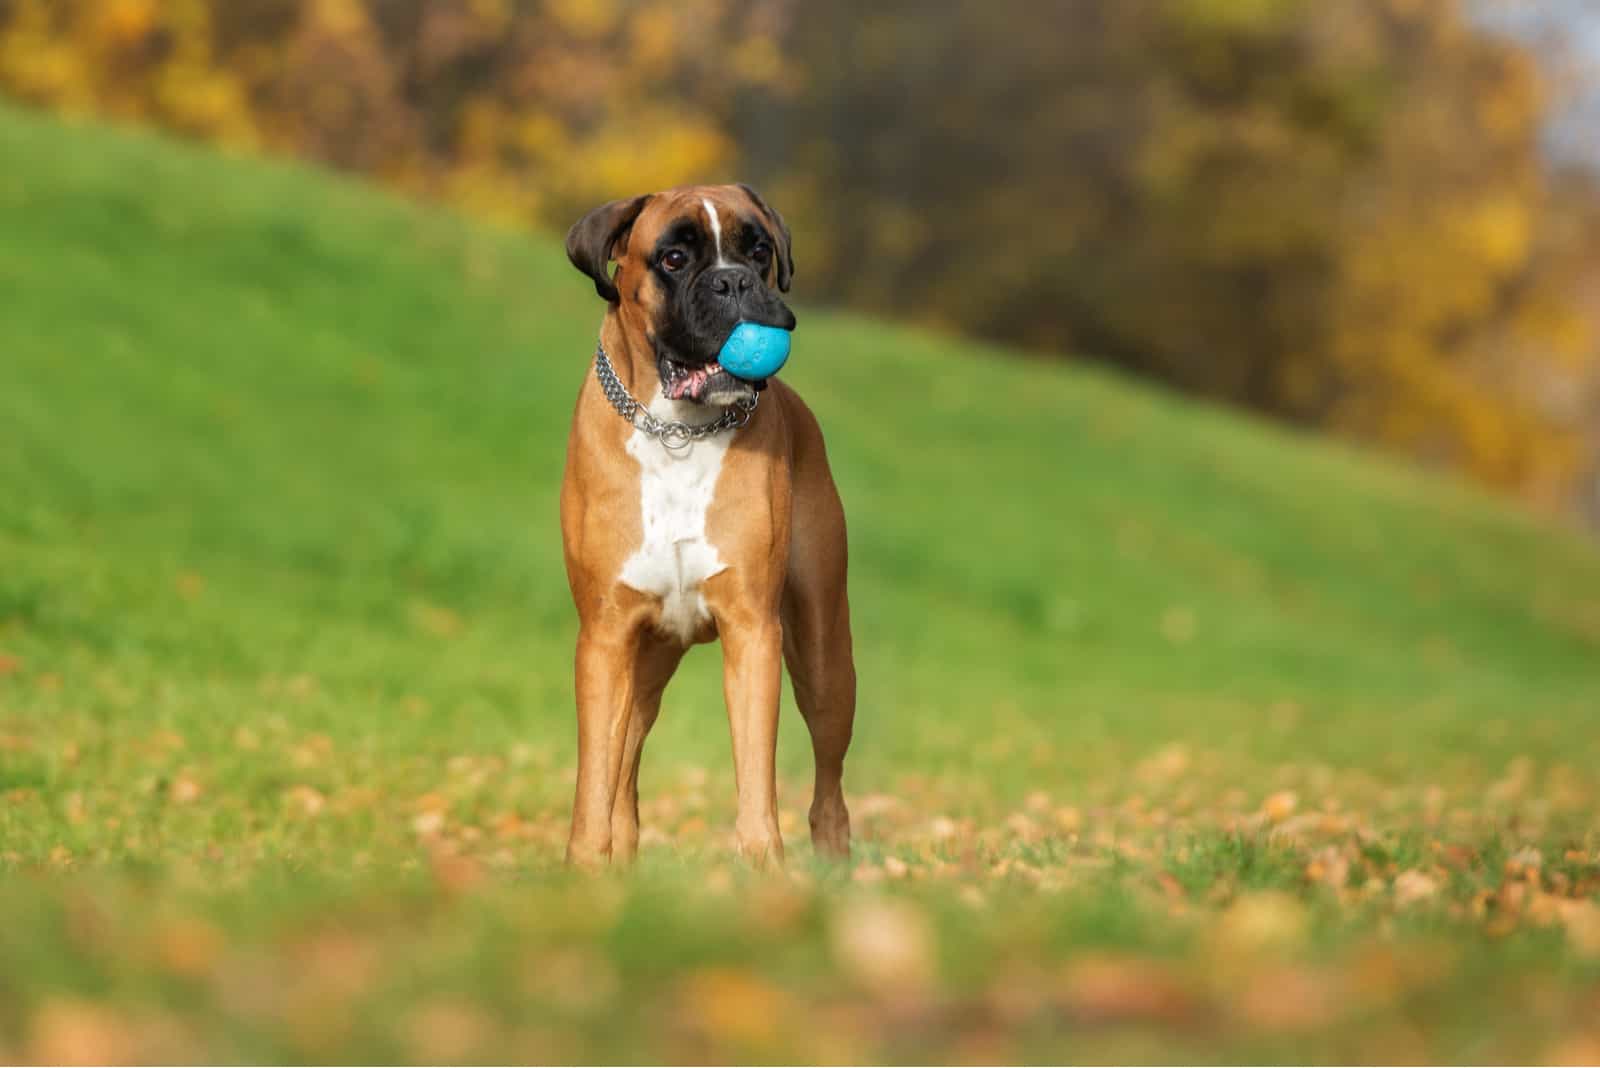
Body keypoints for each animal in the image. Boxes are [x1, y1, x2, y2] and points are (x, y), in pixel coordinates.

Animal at [566, 183, 864, 869]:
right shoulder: (605, 640)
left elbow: (756, 775)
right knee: (624, 764)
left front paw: (764, 869)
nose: (733, 281)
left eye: (758, 251)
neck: (678, 431)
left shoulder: (754, 633)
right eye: (673, 258)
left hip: (825, 660)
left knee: (828, 790)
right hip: (645, 666)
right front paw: (585, 868)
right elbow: (596, 779)